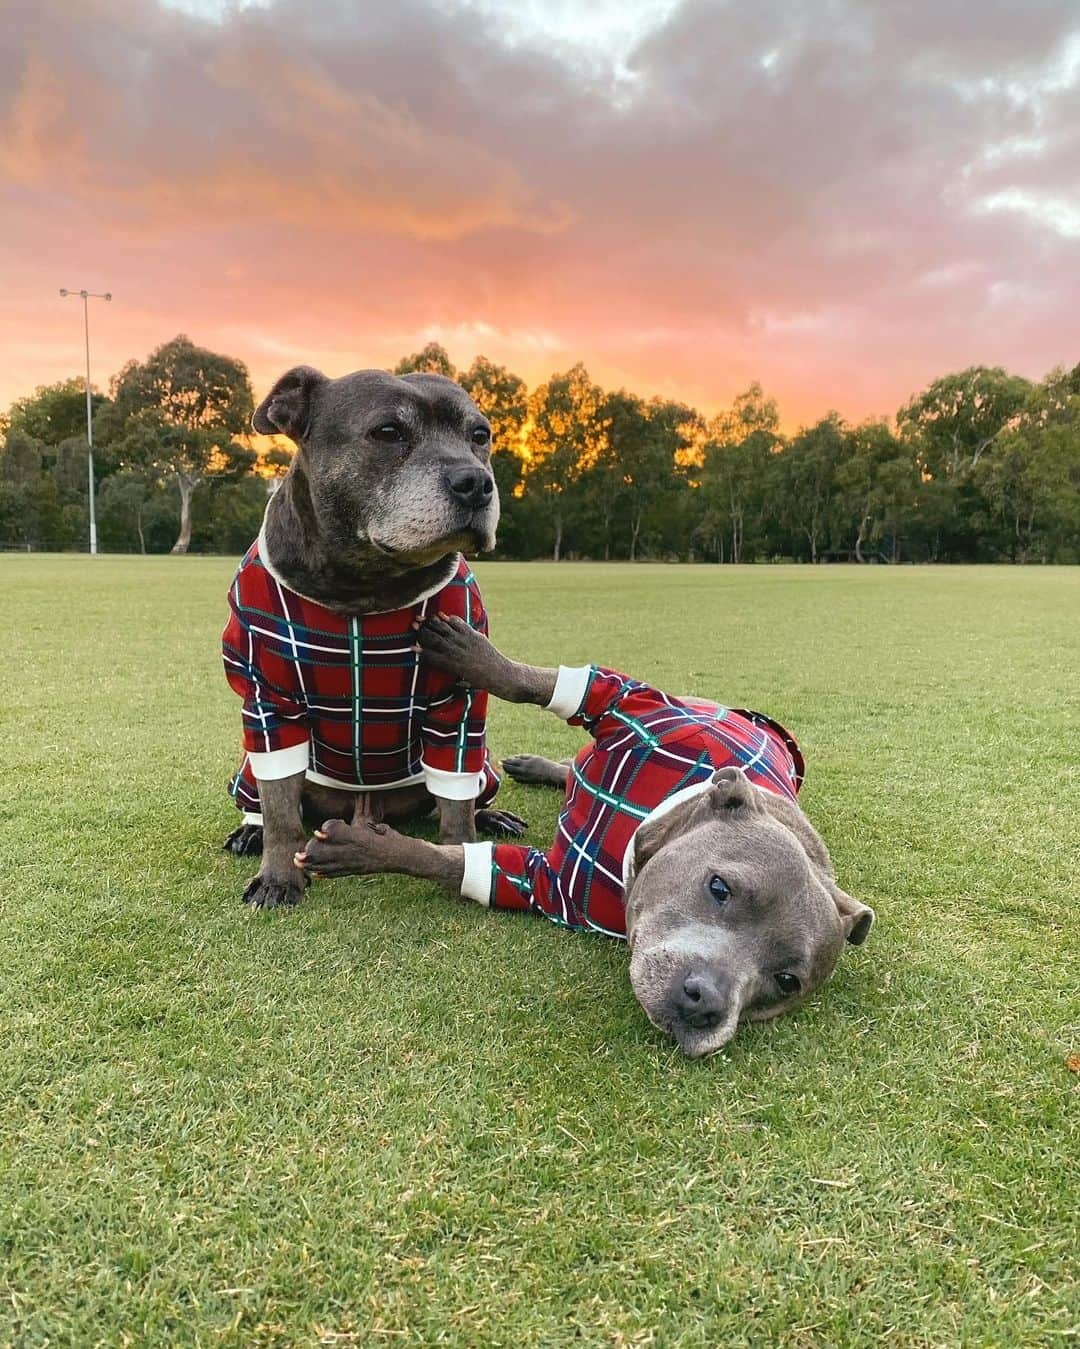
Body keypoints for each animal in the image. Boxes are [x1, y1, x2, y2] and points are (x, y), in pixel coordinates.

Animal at [219, 364, 523, 911]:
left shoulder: (459, 705)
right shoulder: (268, 705)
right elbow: (281, 812)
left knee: (468, 794)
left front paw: (463, 856)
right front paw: (277, 875)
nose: (476, 482)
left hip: (485, 765)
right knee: (261, 799)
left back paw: (492, 816)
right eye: (387, 432)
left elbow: (456, 808)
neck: (366, 587)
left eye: (480, 435)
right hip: (248, 768)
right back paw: (249, 830)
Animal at [296, 617, 873, 1057]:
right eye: (720, 888)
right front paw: (472, 654)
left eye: (787, 982)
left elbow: (451, 860)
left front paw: (365, 848)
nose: (708, 1002)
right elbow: (543, 684)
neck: (645, 826)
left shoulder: (546, 885)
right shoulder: (631, 702)